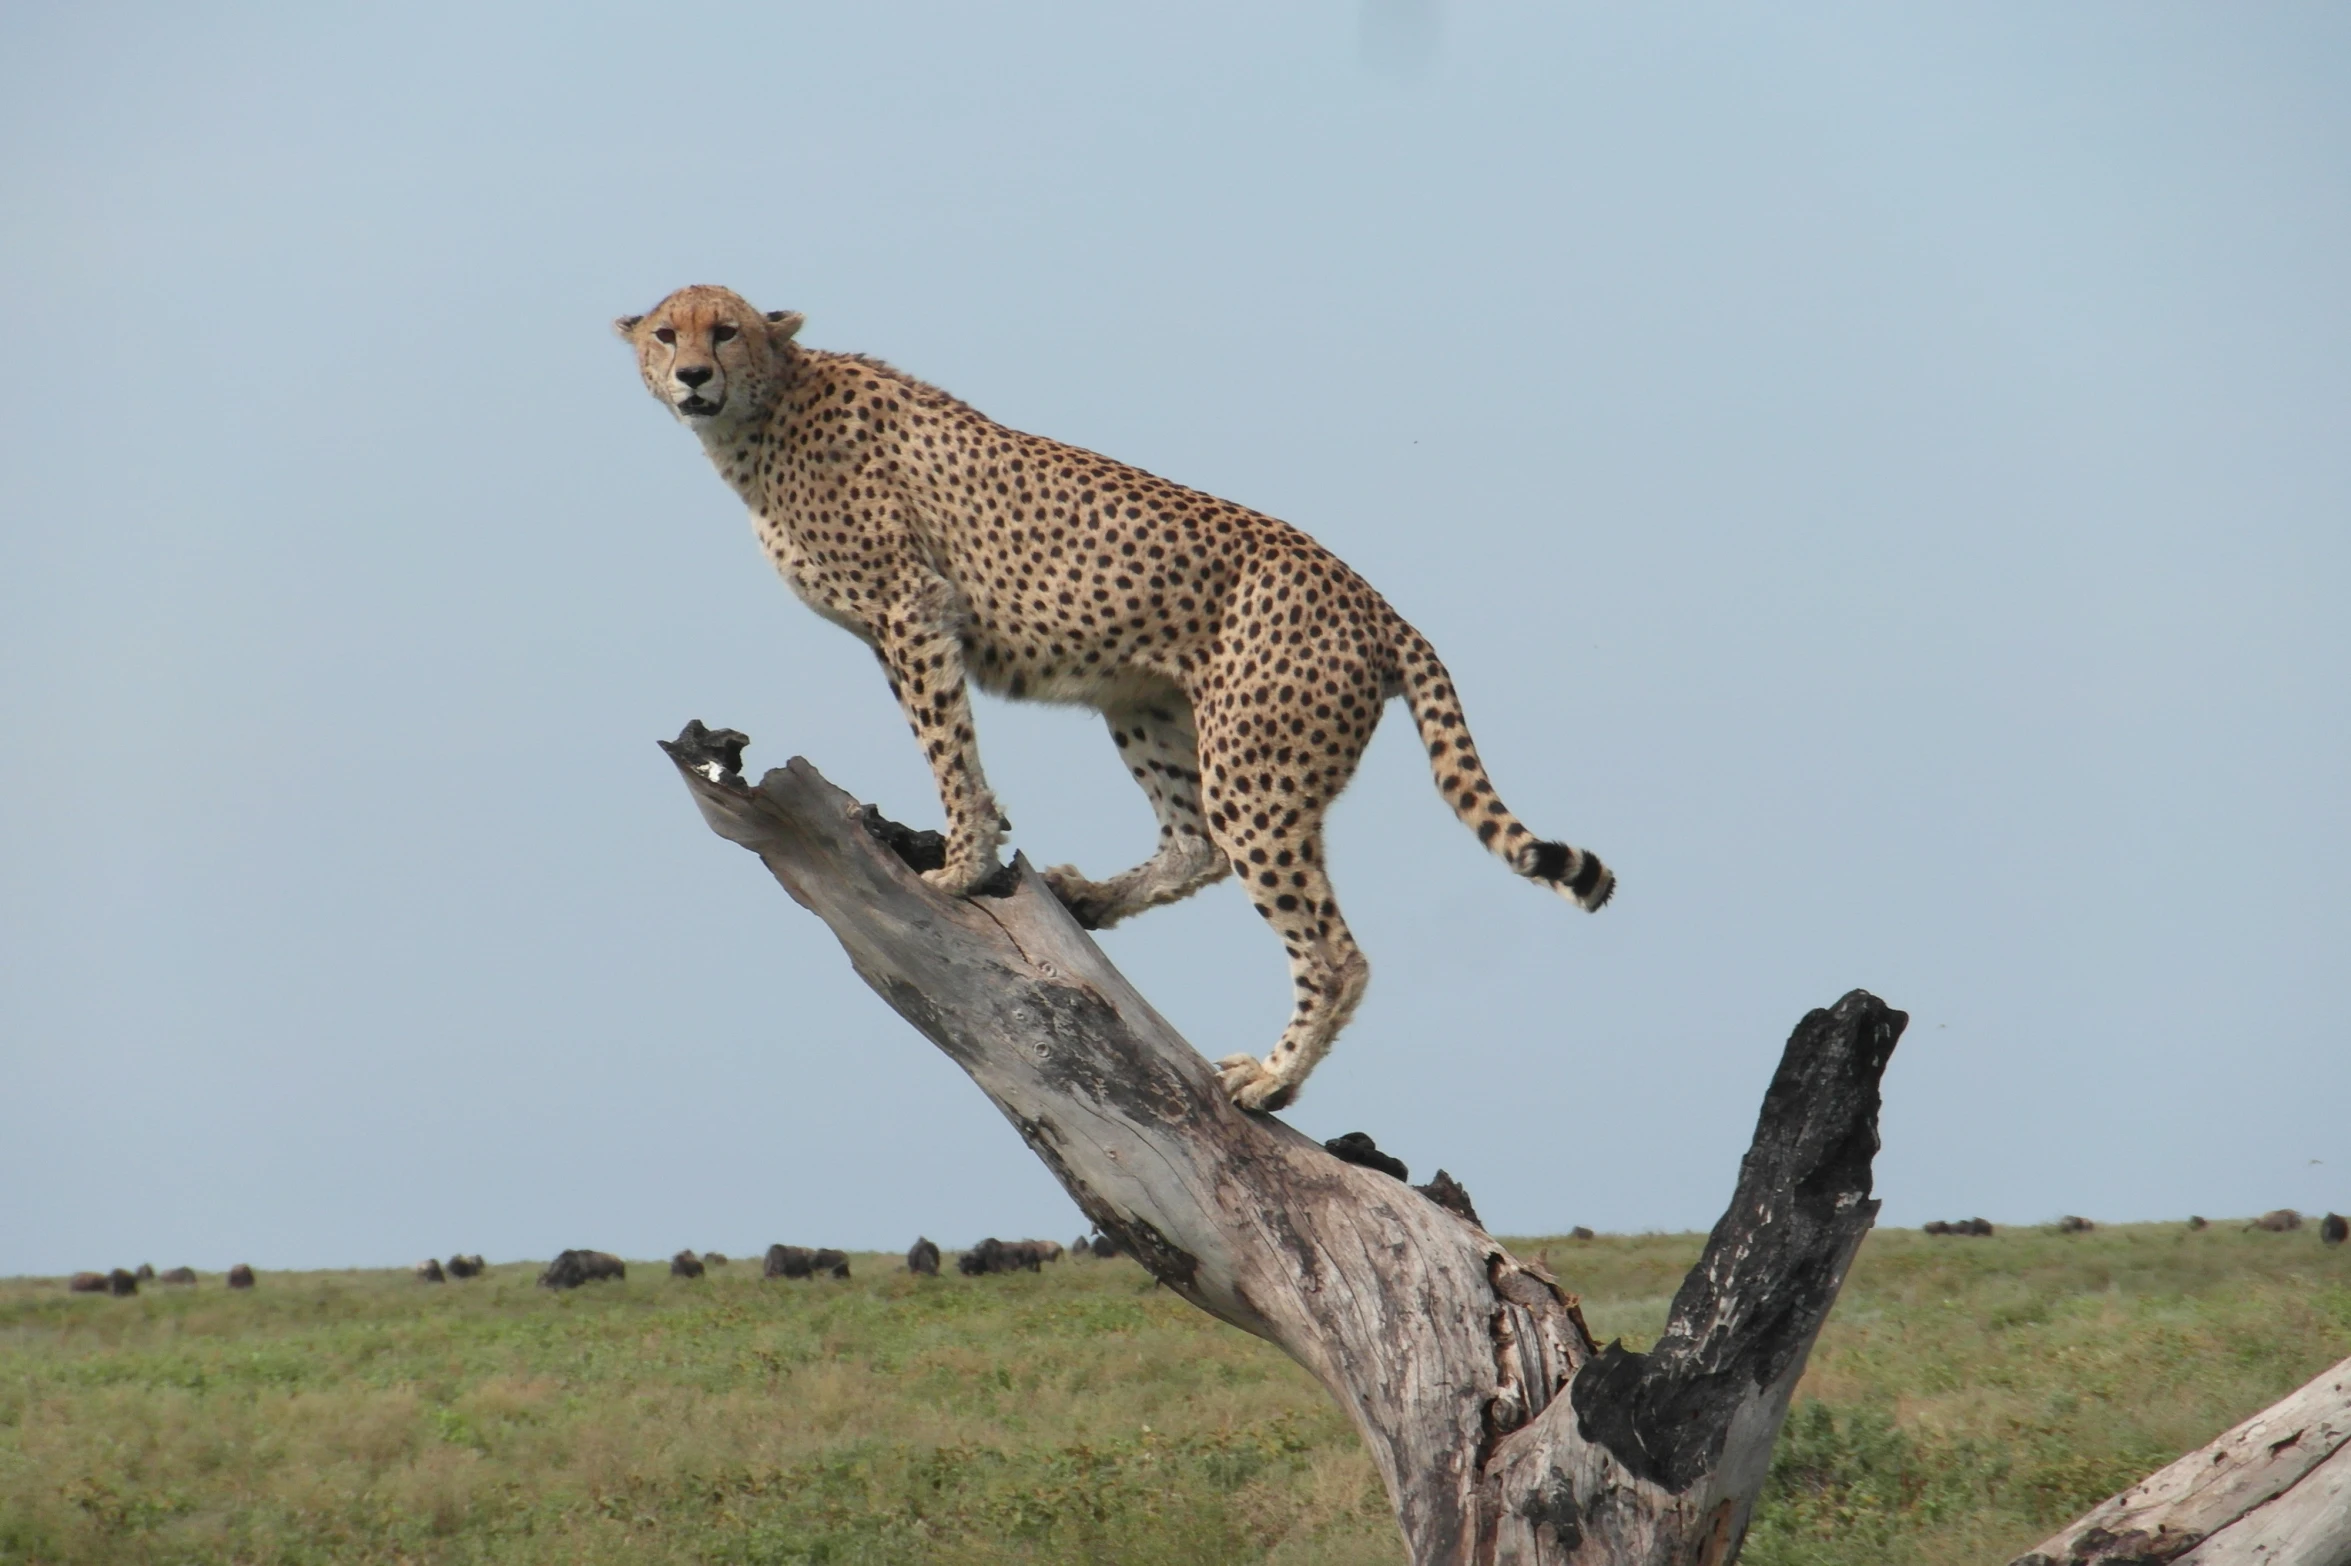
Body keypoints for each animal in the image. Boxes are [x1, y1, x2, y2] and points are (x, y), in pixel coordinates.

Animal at [620, 283, 1617, 1109]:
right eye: (668, 332)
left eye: (726, 331)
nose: (693, 375)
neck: (765, 410)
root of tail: (1375, 601)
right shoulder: (907, 629)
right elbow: (955, 747)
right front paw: (982, 849)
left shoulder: (914, 610)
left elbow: (945, 743)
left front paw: (959, 868)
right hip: (1144, 706)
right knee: (1195, 842)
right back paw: (1092, 899)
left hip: (1254, 766)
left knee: (1331, 950)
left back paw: (1272, 1080)